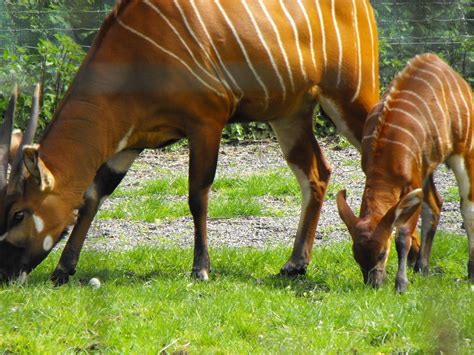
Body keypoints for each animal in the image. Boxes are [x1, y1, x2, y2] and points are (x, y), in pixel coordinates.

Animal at [0, 0, 382, 284]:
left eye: (19, 213)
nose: (5, 273)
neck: (135, 51)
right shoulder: (129, 142)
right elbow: (94, 195)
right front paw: (64, 268)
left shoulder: (206, 122)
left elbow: (197, 195)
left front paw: (201, 269)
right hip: (290, 115)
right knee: (317, 173)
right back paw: (295, 264)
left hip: (351, 95)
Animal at [336, 52, 474, 292]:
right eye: (356, 256)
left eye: (382, 253)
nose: (373, 284)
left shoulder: (412, 184)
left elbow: (402, 236)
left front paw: (400, 285)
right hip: (427, 169)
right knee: (435, 204)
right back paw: (422, 267)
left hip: (464, 151)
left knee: (467, 209)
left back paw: (471, 272)